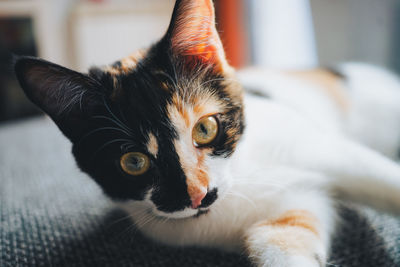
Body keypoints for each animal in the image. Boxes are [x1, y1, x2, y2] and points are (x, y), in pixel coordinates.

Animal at [14, 0, 400, 267]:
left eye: (205, 128)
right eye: (133, 162)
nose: (197, 196)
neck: (241, 180)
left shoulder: (320, 147)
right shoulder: (287, 216)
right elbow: (284, 244)